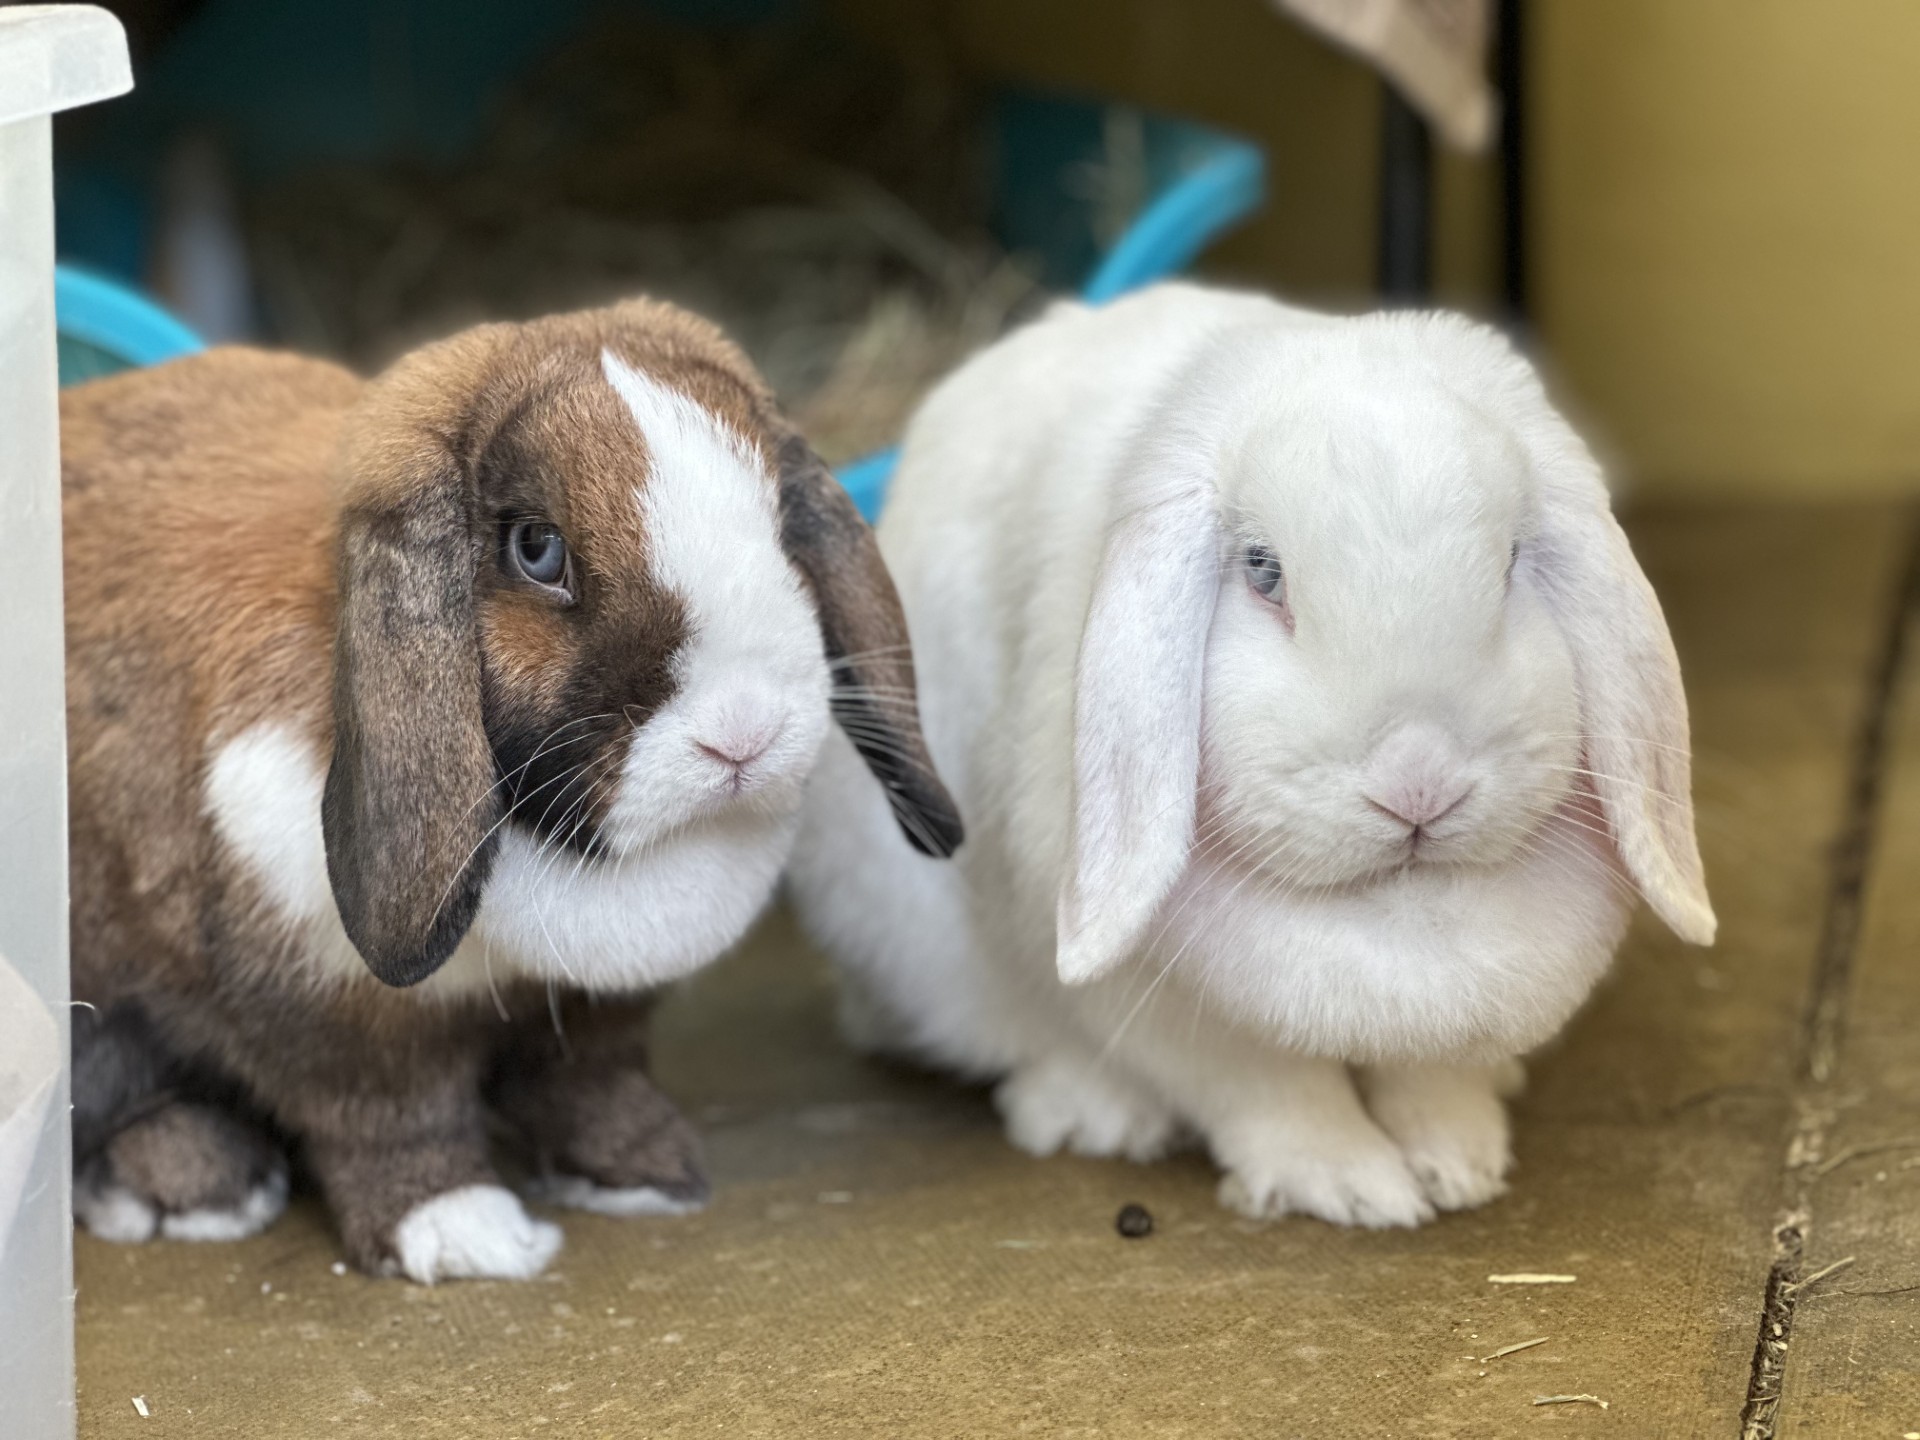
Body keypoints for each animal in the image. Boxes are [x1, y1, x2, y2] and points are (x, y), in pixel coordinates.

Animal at [61, 297, 961, 1280]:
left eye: (779, 522)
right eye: (536, 549)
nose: (743, 733)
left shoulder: (595, 1014)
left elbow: (592, 1078)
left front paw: (648, 1175)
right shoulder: (329, 1006)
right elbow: (389, 1114)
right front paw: (466, 1236)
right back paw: (199, 1186)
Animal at [789, 282, 1713, 1228]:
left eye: (1510, 566)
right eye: (1263, 571)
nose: (1418, 785)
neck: (1400, 917)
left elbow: (1431, 1081)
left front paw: (1459, 1165)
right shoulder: (1172, 1019)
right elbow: (1271, 1095)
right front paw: (1356, 1189)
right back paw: (1093, 1115)